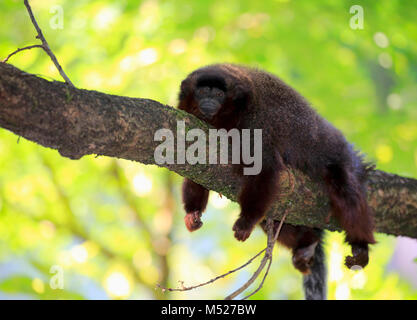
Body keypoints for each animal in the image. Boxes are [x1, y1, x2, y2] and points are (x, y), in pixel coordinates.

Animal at [176, 63, 374, 298]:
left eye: (217, 94)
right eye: (203, 91)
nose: (209, 101)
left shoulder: (254, 126)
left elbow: (265, 168)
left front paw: (245, 221)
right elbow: (197, 170)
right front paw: (193, 212)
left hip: (336, 153)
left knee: (345, 192)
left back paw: (360, 246)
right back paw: (306, 245)